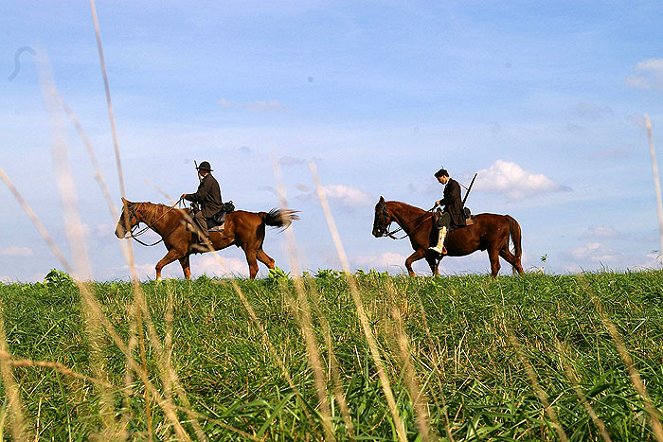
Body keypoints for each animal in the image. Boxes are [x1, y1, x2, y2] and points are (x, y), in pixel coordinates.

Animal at [115, 199, 300, 280]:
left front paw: (158, 283)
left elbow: (158, 265)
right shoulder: (183, 255)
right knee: (270, 262)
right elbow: (187, 273)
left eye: (126, 214)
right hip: (256, 248)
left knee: (253, 268)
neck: (171, 222)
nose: (117, 232)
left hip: (249, 249)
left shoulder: (177, 252)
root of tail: (258, 215)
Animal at [374, 197, 524, 276]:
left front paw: (413, 277)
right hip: (502, 249)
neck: (418, 222)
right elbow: (435, 271)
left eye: (378, 213)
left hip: (493, 248)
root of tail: (504, 217)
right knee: (515, 262)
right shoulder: (429, 256)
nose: (375, 232)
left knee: (495, 266)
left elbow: (407, 262)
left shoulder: (423, 251)